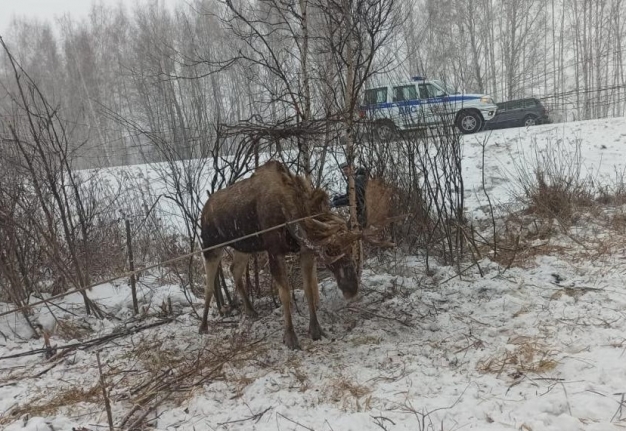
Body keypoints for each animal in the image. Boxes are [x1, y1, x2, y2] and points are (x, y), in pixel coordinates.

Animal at [197, 160, 358, 350]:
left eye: (350, 248)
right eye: (329, 250)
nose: (352, 289)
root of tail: (203, 211)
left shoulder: (305, 250)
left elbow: (309, 289)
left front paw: (316, 330)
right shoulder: (274, 251)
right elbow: (285, 294)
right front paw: (290, 337)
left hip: (244, 248)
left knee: (234, 269)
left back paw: (250, 310)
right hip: (211, 247)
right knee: (209, 285)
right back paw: (203, 325)